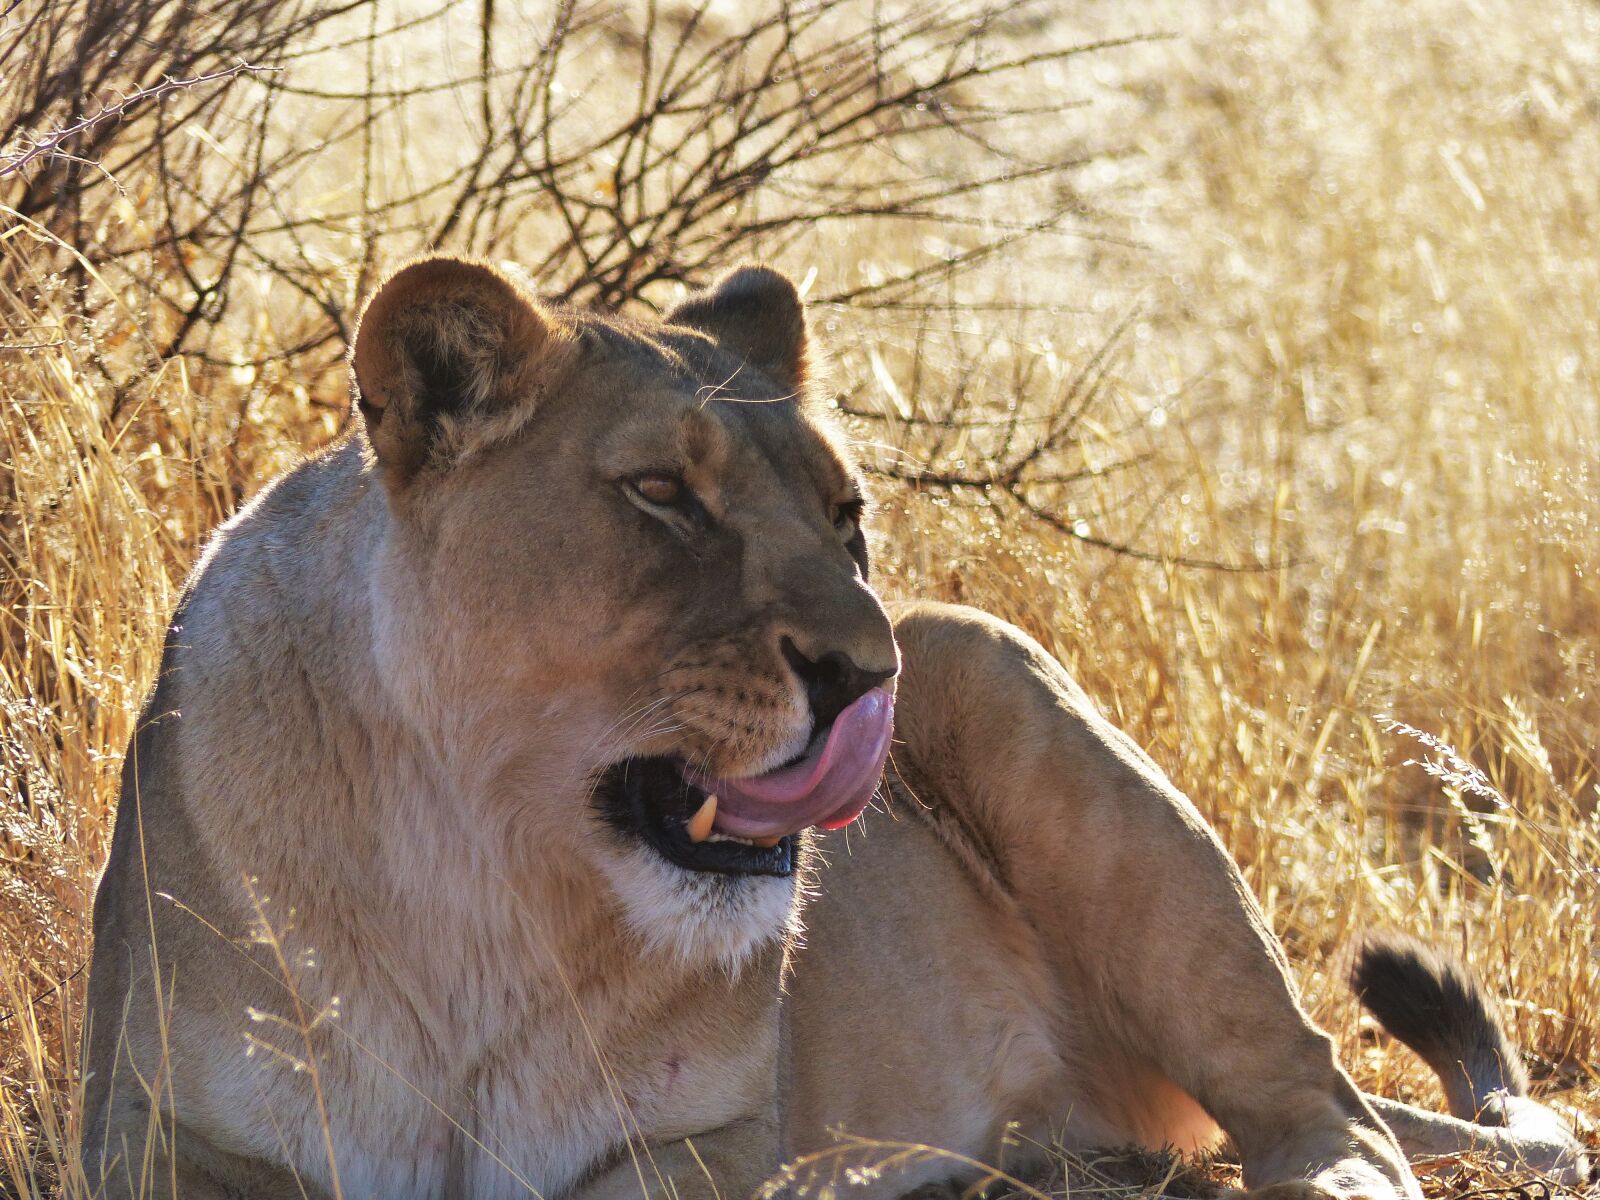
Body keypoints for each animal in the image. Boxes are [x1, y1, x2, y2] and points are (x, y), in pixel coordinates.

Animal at [82, 256, 1590, 1200]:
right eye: (662, 496)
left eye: (845, 514)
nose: (869, 676)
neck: (483, 880)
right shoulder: (144, 1129)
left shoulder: (725, 1139)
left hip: (993, 666)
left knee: (1327, 1103)